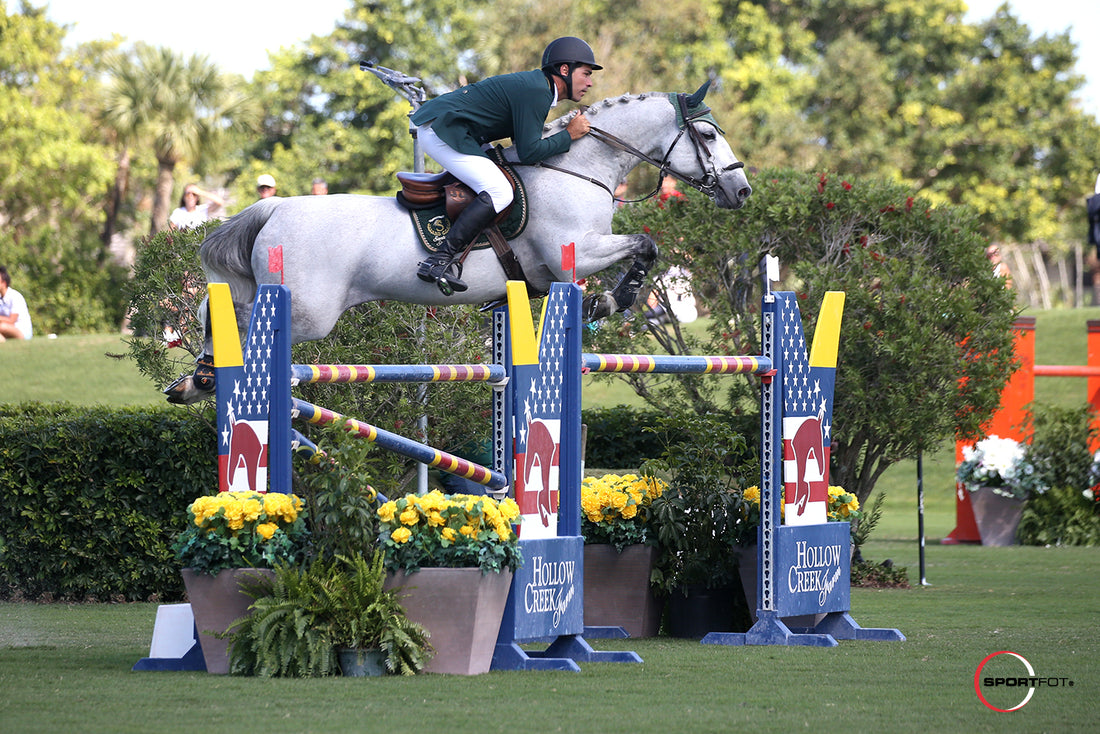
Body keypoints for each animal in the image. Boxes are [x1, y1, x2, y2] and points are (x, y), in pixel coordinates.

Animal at [165, 82, 748, 404]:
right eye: (709, 135)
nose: (741, 191)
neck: (577, 167)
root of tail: (276, 207)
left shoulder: (554, 269)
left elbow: (645, 250)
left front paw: (609, 302)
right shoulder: (577, 251)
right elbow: (644, 245)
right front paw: (615, 299)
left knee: (215, 312)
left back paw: (194, 382)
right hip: (309, 311)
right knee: (235, 321)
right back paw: (202, 379)